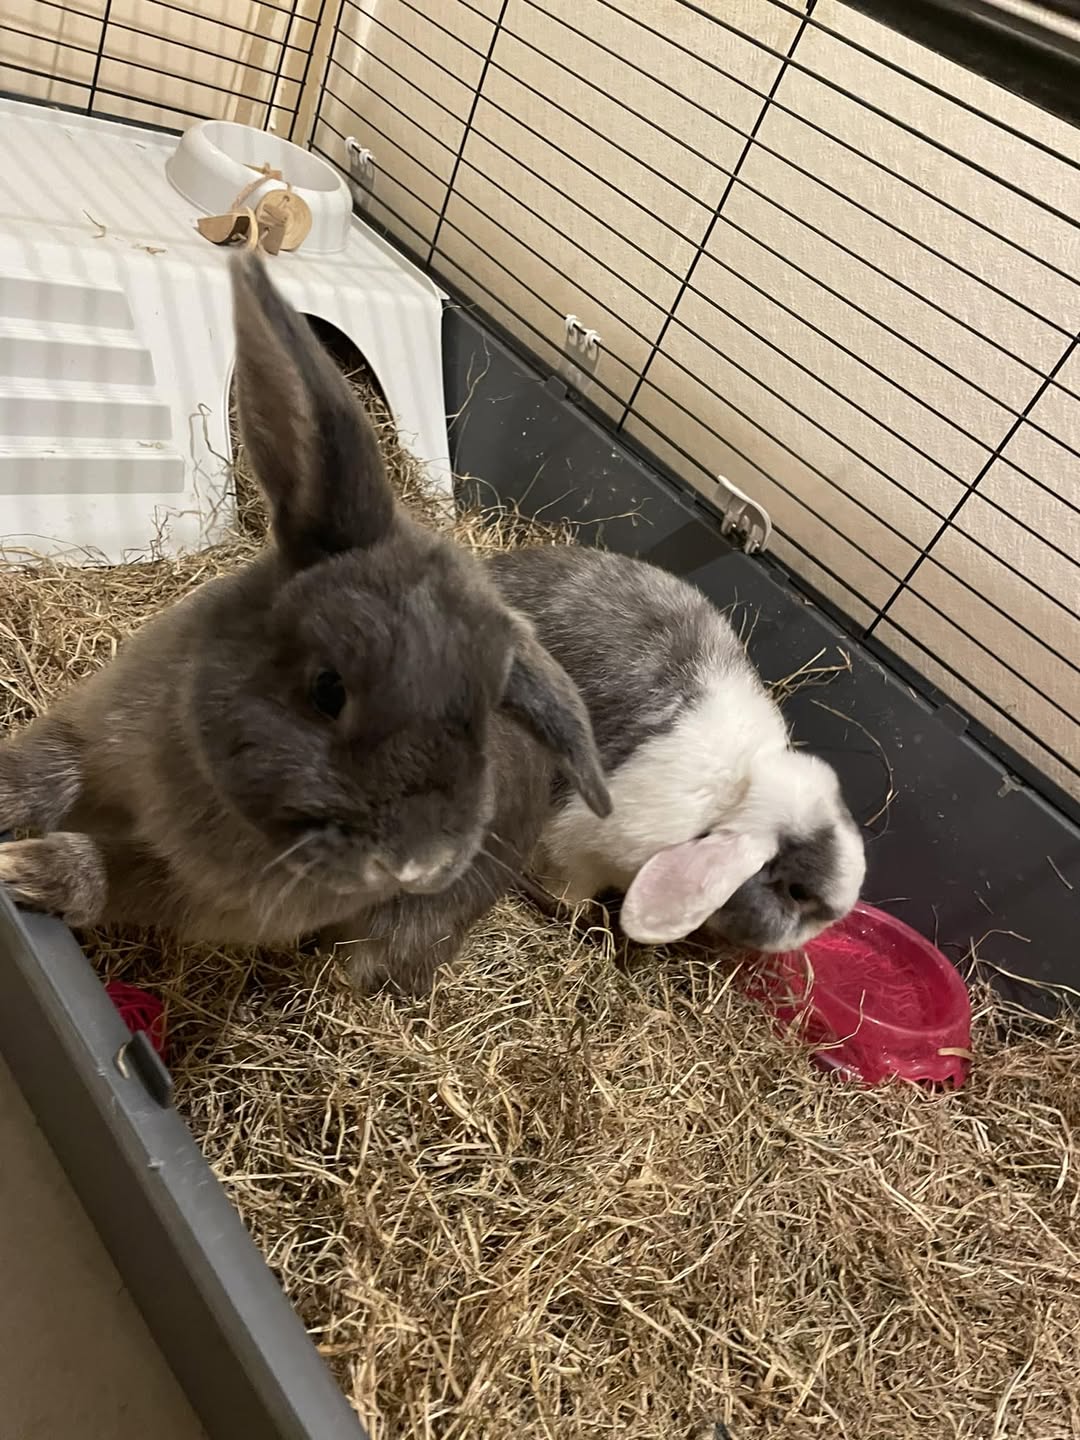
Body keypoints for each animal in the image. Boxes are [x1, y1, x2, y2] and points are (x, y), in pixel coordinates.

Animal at [0, 254, 610, 994]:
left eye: (482, 726)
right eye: (329, 689)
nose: (416, 865)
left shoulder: (195, 892)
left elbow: (114, 876)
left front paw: (29, 871)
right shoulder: (89, 730)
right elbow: (42, 772)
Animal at [487, 546, 866, 952]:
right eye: (798, 893)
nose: (834, 919)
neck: (737, 794)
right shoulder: (580, 849)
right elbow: (567, 882)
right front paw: (571, 909)